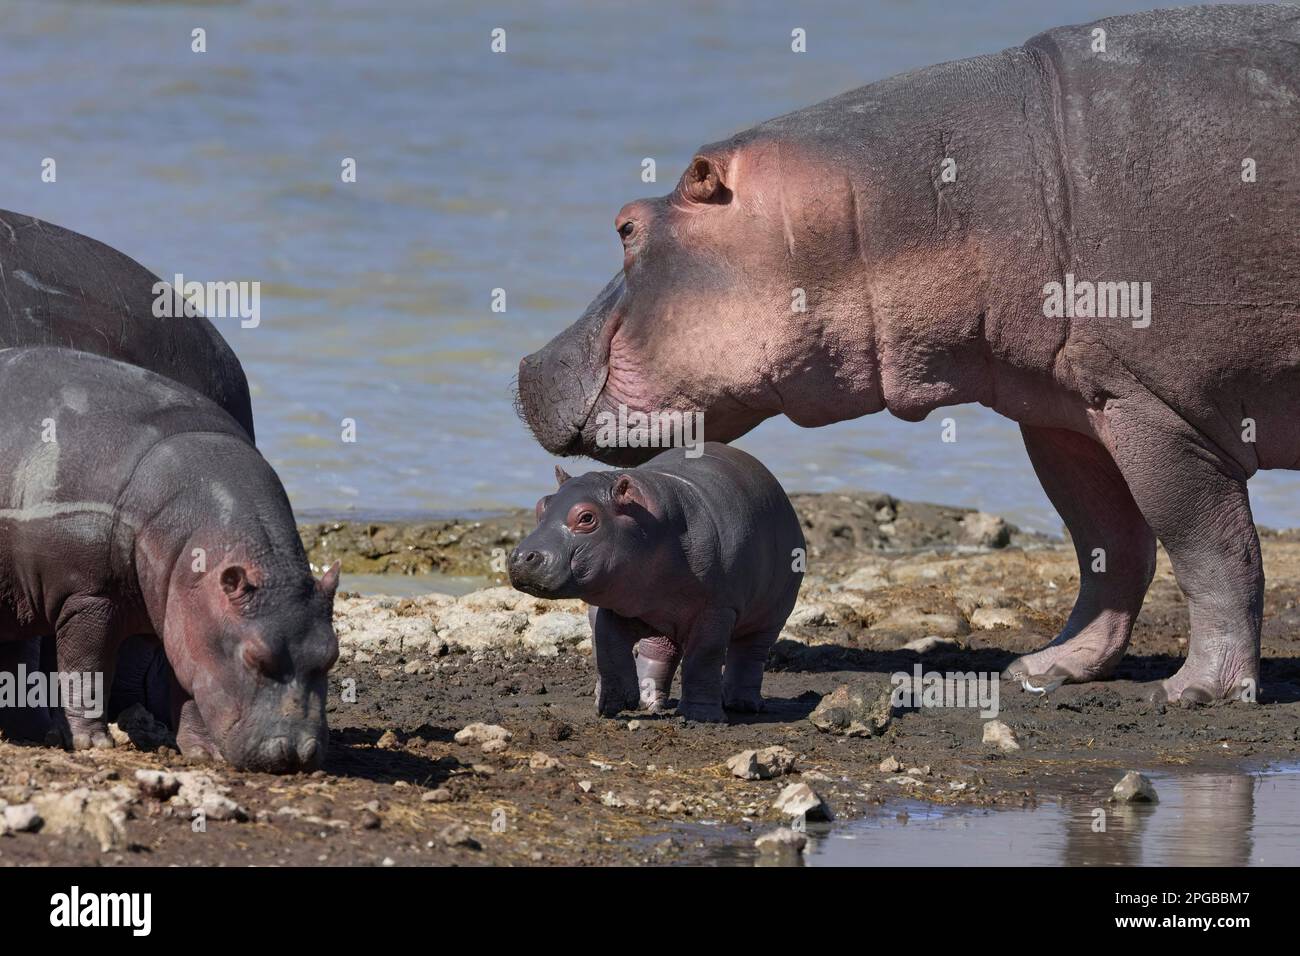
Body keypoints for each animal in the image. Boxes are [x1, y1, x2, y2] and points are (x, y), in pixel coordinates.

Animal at [0, 348, 340, 775]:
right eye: (255, 656)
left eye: (332, 654)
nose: (297, 753)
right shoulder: (88, 596)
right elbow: (86, 668)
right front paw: (93, 743)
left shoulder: (182, 615)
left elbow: (187, 683)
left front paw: (203, 753)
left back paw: (35, 733)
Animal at [506, 444, 800, 723]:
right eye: (542, 504)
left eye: (587, 517)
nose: (520, 556)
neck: (654, 521)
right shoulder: (616, 602)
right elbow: (607, 646)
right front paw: (613, 706)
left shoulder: (718, 609)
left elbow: (704, 657)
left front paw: (702, 717)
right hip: (663, 621)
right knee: (658, 652)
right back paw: (648, 702)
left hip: (771, 616)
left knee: (750, 654)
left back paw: (744, 705)